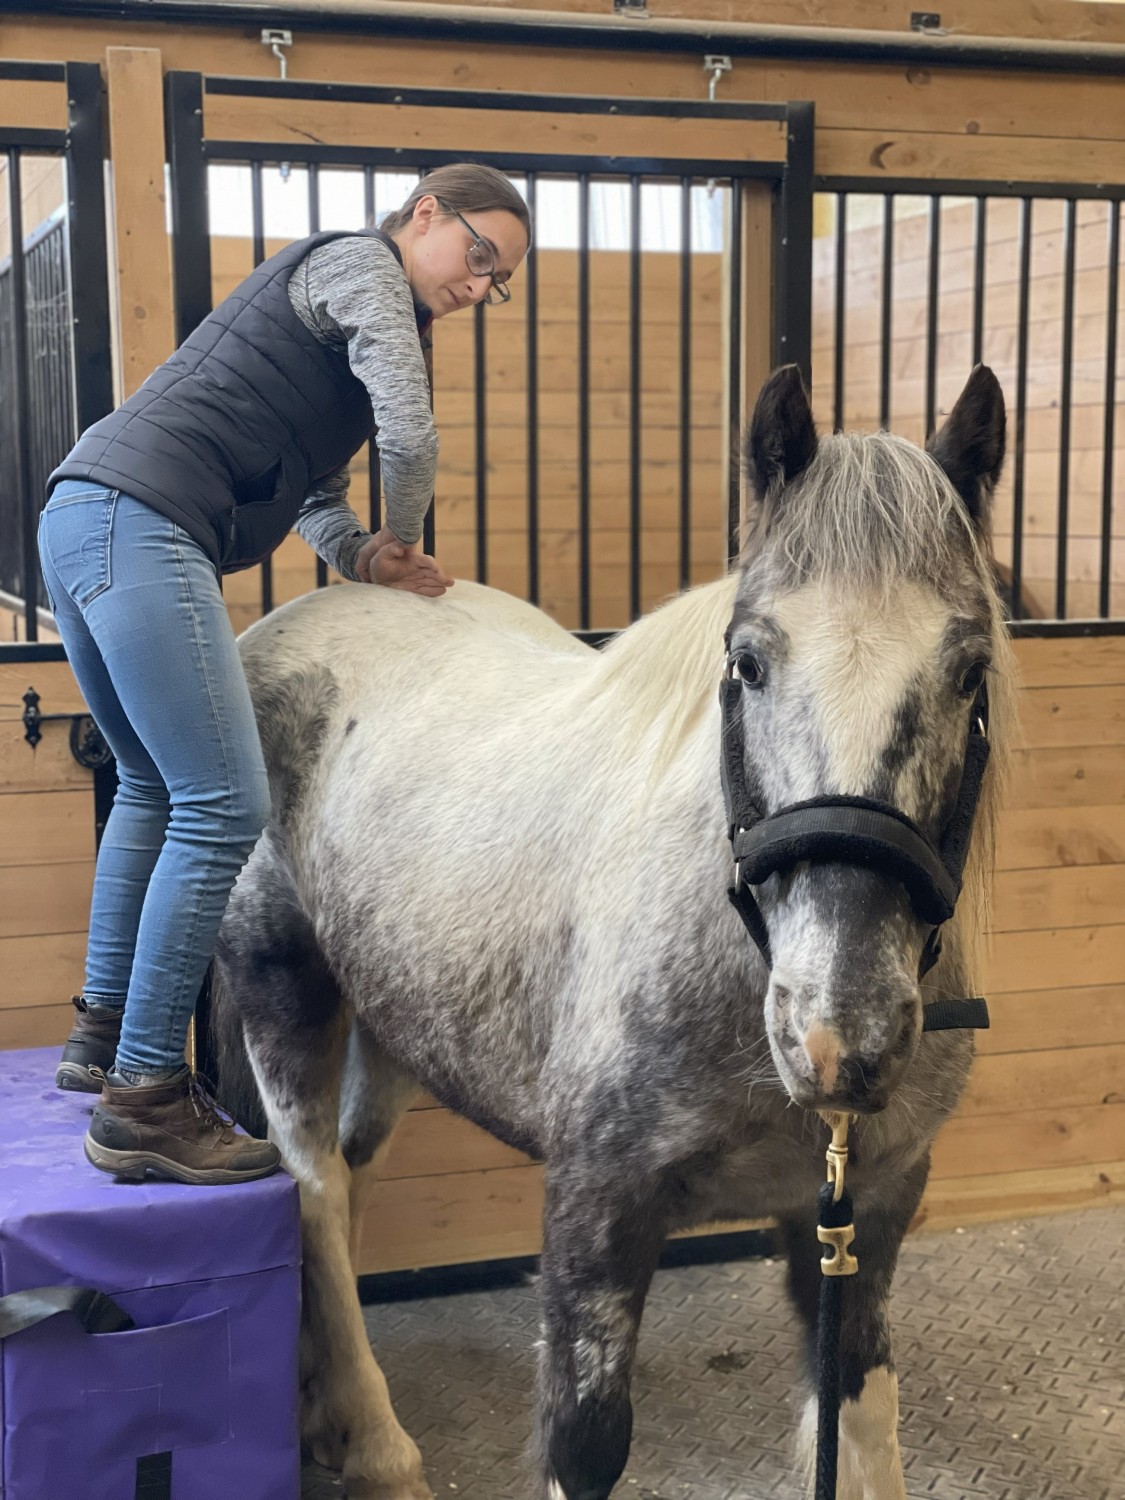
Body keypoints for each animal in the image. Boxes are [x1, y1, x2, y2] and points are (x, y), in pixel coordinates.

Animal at [211, 364, 1014, 1500]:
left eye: (969, 670)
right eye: (748, 661)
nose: (837, 1035)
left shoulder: (867, 1213)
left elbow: (858, 1423)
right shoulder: (595, 1218)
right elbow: (583, 1442)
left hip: (397, 1024)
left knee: (350, 1173)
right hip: (282, 986)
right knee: (313, 1189)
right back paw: (374, 1443)